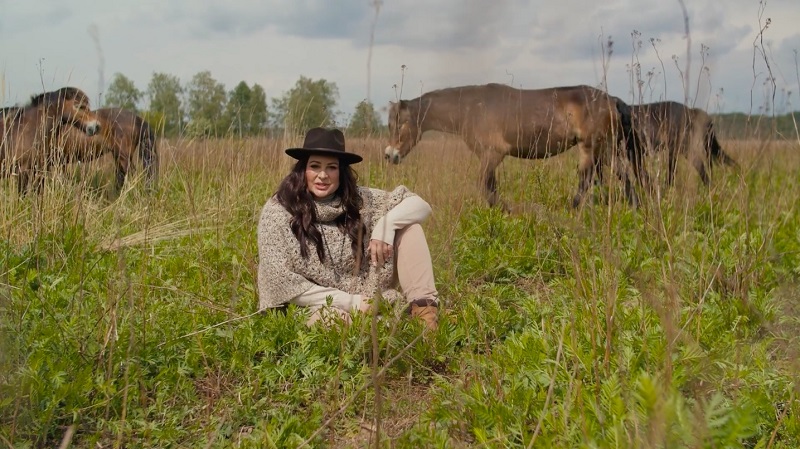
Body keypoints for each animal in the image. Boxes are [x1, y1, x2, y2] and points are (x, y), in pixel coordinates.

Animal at [384, 83, 648, 207]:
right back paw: (635, 207)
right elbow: (490, 189)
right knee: (623, 176)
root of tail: (611, 99)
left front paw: (508, 211)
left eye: (401, 124)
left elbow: (487, 189)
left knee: (586, 181)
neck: (471, 108)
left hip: (591, 148)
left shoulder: (492, 155)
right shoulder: (488, 158)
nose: (390, 155)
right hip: (606, 148)